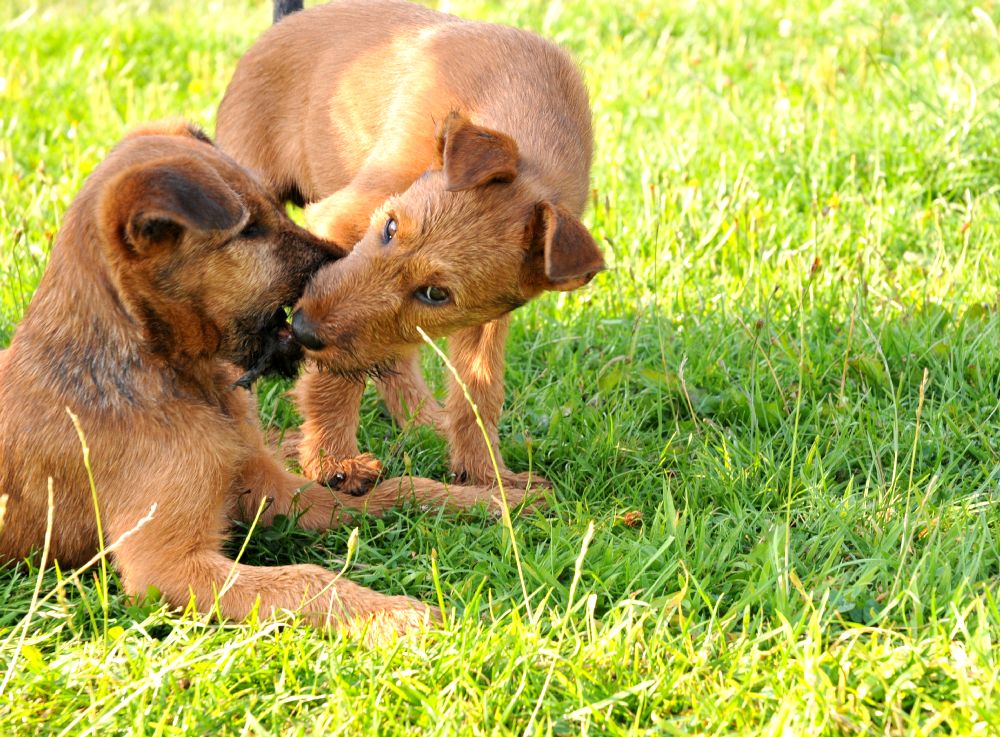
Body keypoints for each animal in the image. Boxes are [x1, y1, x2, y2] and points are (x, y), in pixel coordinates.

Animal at [0, 121, 512, 640]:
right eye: (249, 230)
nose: (338, 267)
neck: (170, 373)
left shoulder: (269, 489)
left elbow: (401, 490)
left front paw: (493, 500)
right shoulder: (167, 566)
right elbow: (306, 578)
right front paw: (399, 616)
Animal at [215, 0, 600, 498]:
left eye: (436, 294)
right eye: (390, 227)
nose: (300, 330)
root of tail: (288, 21)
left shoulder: (487, 316)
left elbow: (479, 388)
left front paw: (486, 474)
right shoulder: (342, 220)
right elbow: (333, 377)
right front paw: (332, 461)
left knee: (392, 356)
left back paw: (427, 423)